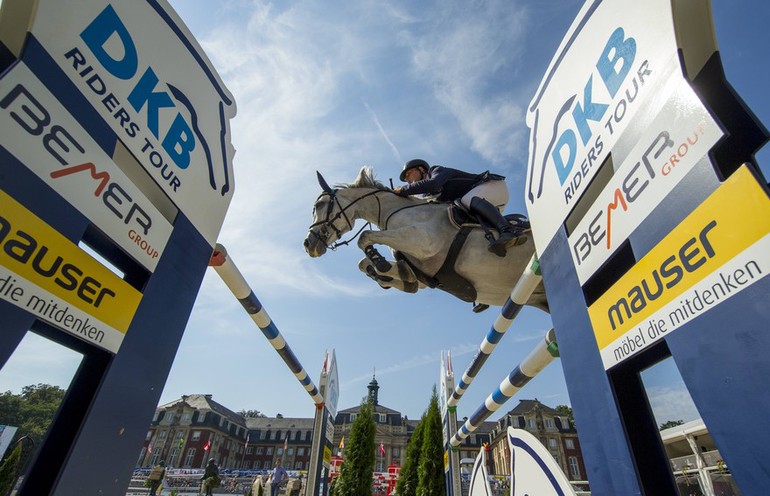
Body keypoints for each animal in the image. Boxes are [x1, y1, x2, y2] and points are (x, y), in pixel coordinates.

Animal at [304, 169, 548, 312]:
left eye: (319, 205)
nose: (308, 245)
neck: (395, 210)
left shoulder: (423, 241)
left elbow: (364, 237)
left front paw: (379, 263)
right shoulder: (422, 270)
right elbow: (365, 264)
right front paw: (385, 274)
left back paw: (507, 236)